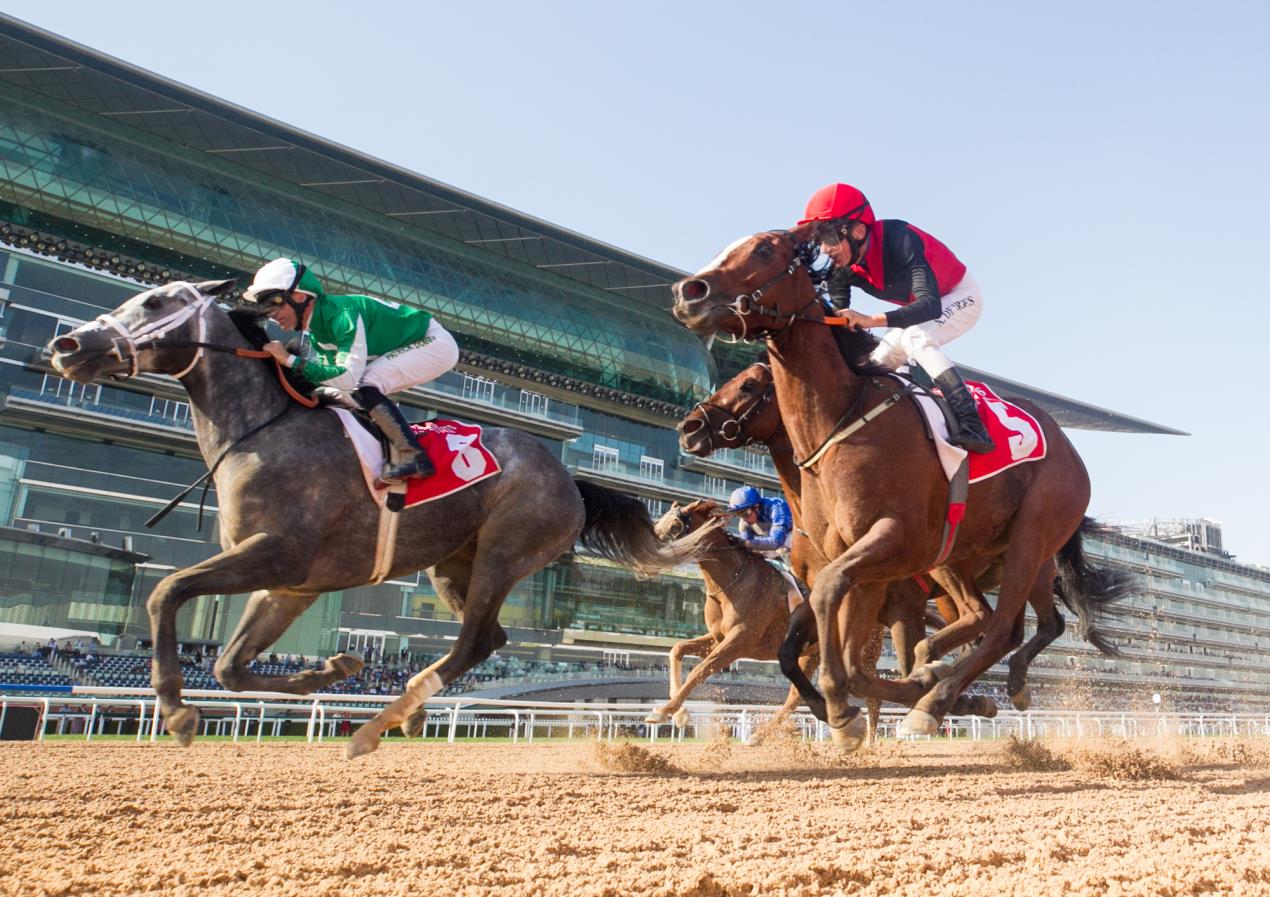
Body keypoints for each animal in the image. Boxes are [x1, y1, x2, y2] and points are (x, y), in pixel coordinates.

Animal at [49, 279, 706, 752]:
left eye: (156, 301)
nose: (67, 346)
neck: (264, 430)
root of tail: (571, 477)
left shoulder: (276, 554)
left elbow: (166, 591)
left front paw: (178, 710)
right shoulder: (289, 583)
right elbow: (230, 666)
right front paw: (332, 668)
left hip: (506, 549)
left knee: (472, 642)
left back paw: (376, 725)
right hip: (452, 565)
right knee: (489, 637)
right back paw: (406, 714)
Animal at [645, 500, 822, 731]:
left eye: (675, 526)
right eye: (657, 524)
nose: (646, 559)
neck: (733, 581)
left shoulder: (740, 640)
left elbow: (700, 670)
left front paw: (665, 710)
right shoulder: (718, 638)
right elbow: (677, 649)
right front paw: (679, 713)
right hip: (812, 652)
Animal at [675, 232, 1132, 741]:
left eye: (751, 385)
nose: (690, 427)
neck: (844, 420)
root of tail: (1067, 445)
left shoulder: (893, 551)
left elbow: (846, 637)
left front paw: (859, 707)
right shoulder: (860, 569)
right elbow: (812, 651)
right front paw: (848, 707)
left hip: (1031, 538)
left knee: (1002, 626)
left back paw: (937, 701)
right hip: (974, 558)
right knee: (1011, 621)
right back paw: (976, 684)